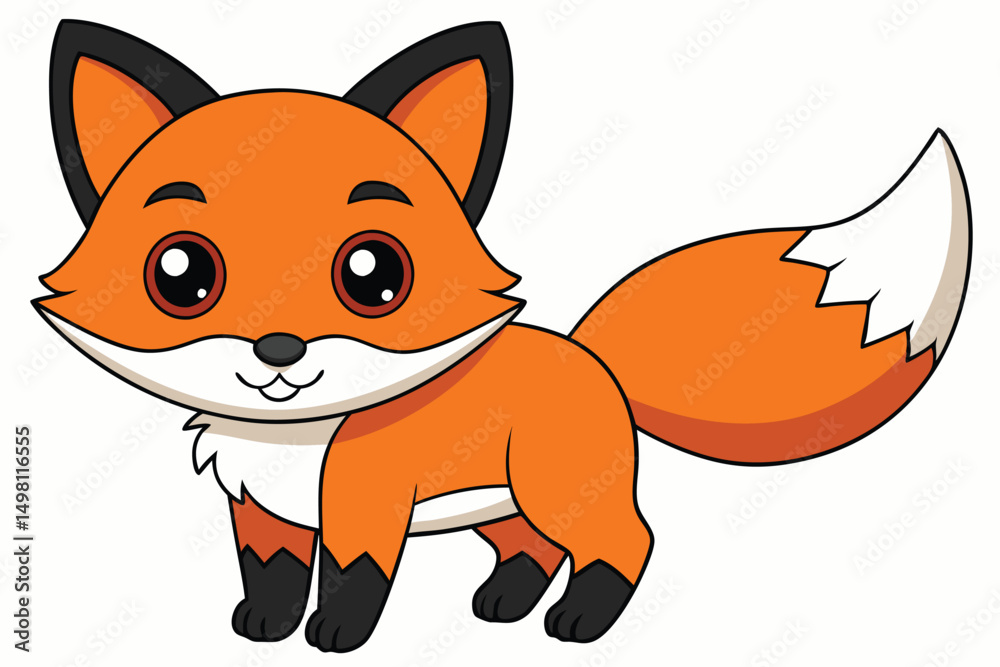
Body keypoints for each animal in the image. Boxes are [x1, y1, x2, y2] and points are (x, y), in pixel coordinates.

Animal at [35, 19, 971, 653]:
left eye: (373, 274)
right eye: (181, 274)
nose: (279, 351)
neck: (294, 440)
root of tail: (593, 358)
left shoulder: (365, 507)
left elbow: (354, 580)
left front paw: (336, 636)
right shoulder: (262, 513)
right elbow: (270, 573)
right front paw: (263, 625)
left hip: (561, 489)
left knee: (626, 541)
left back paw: (580, 621)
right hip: (506, 501)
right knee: (531, 548)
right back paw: (506, 606)